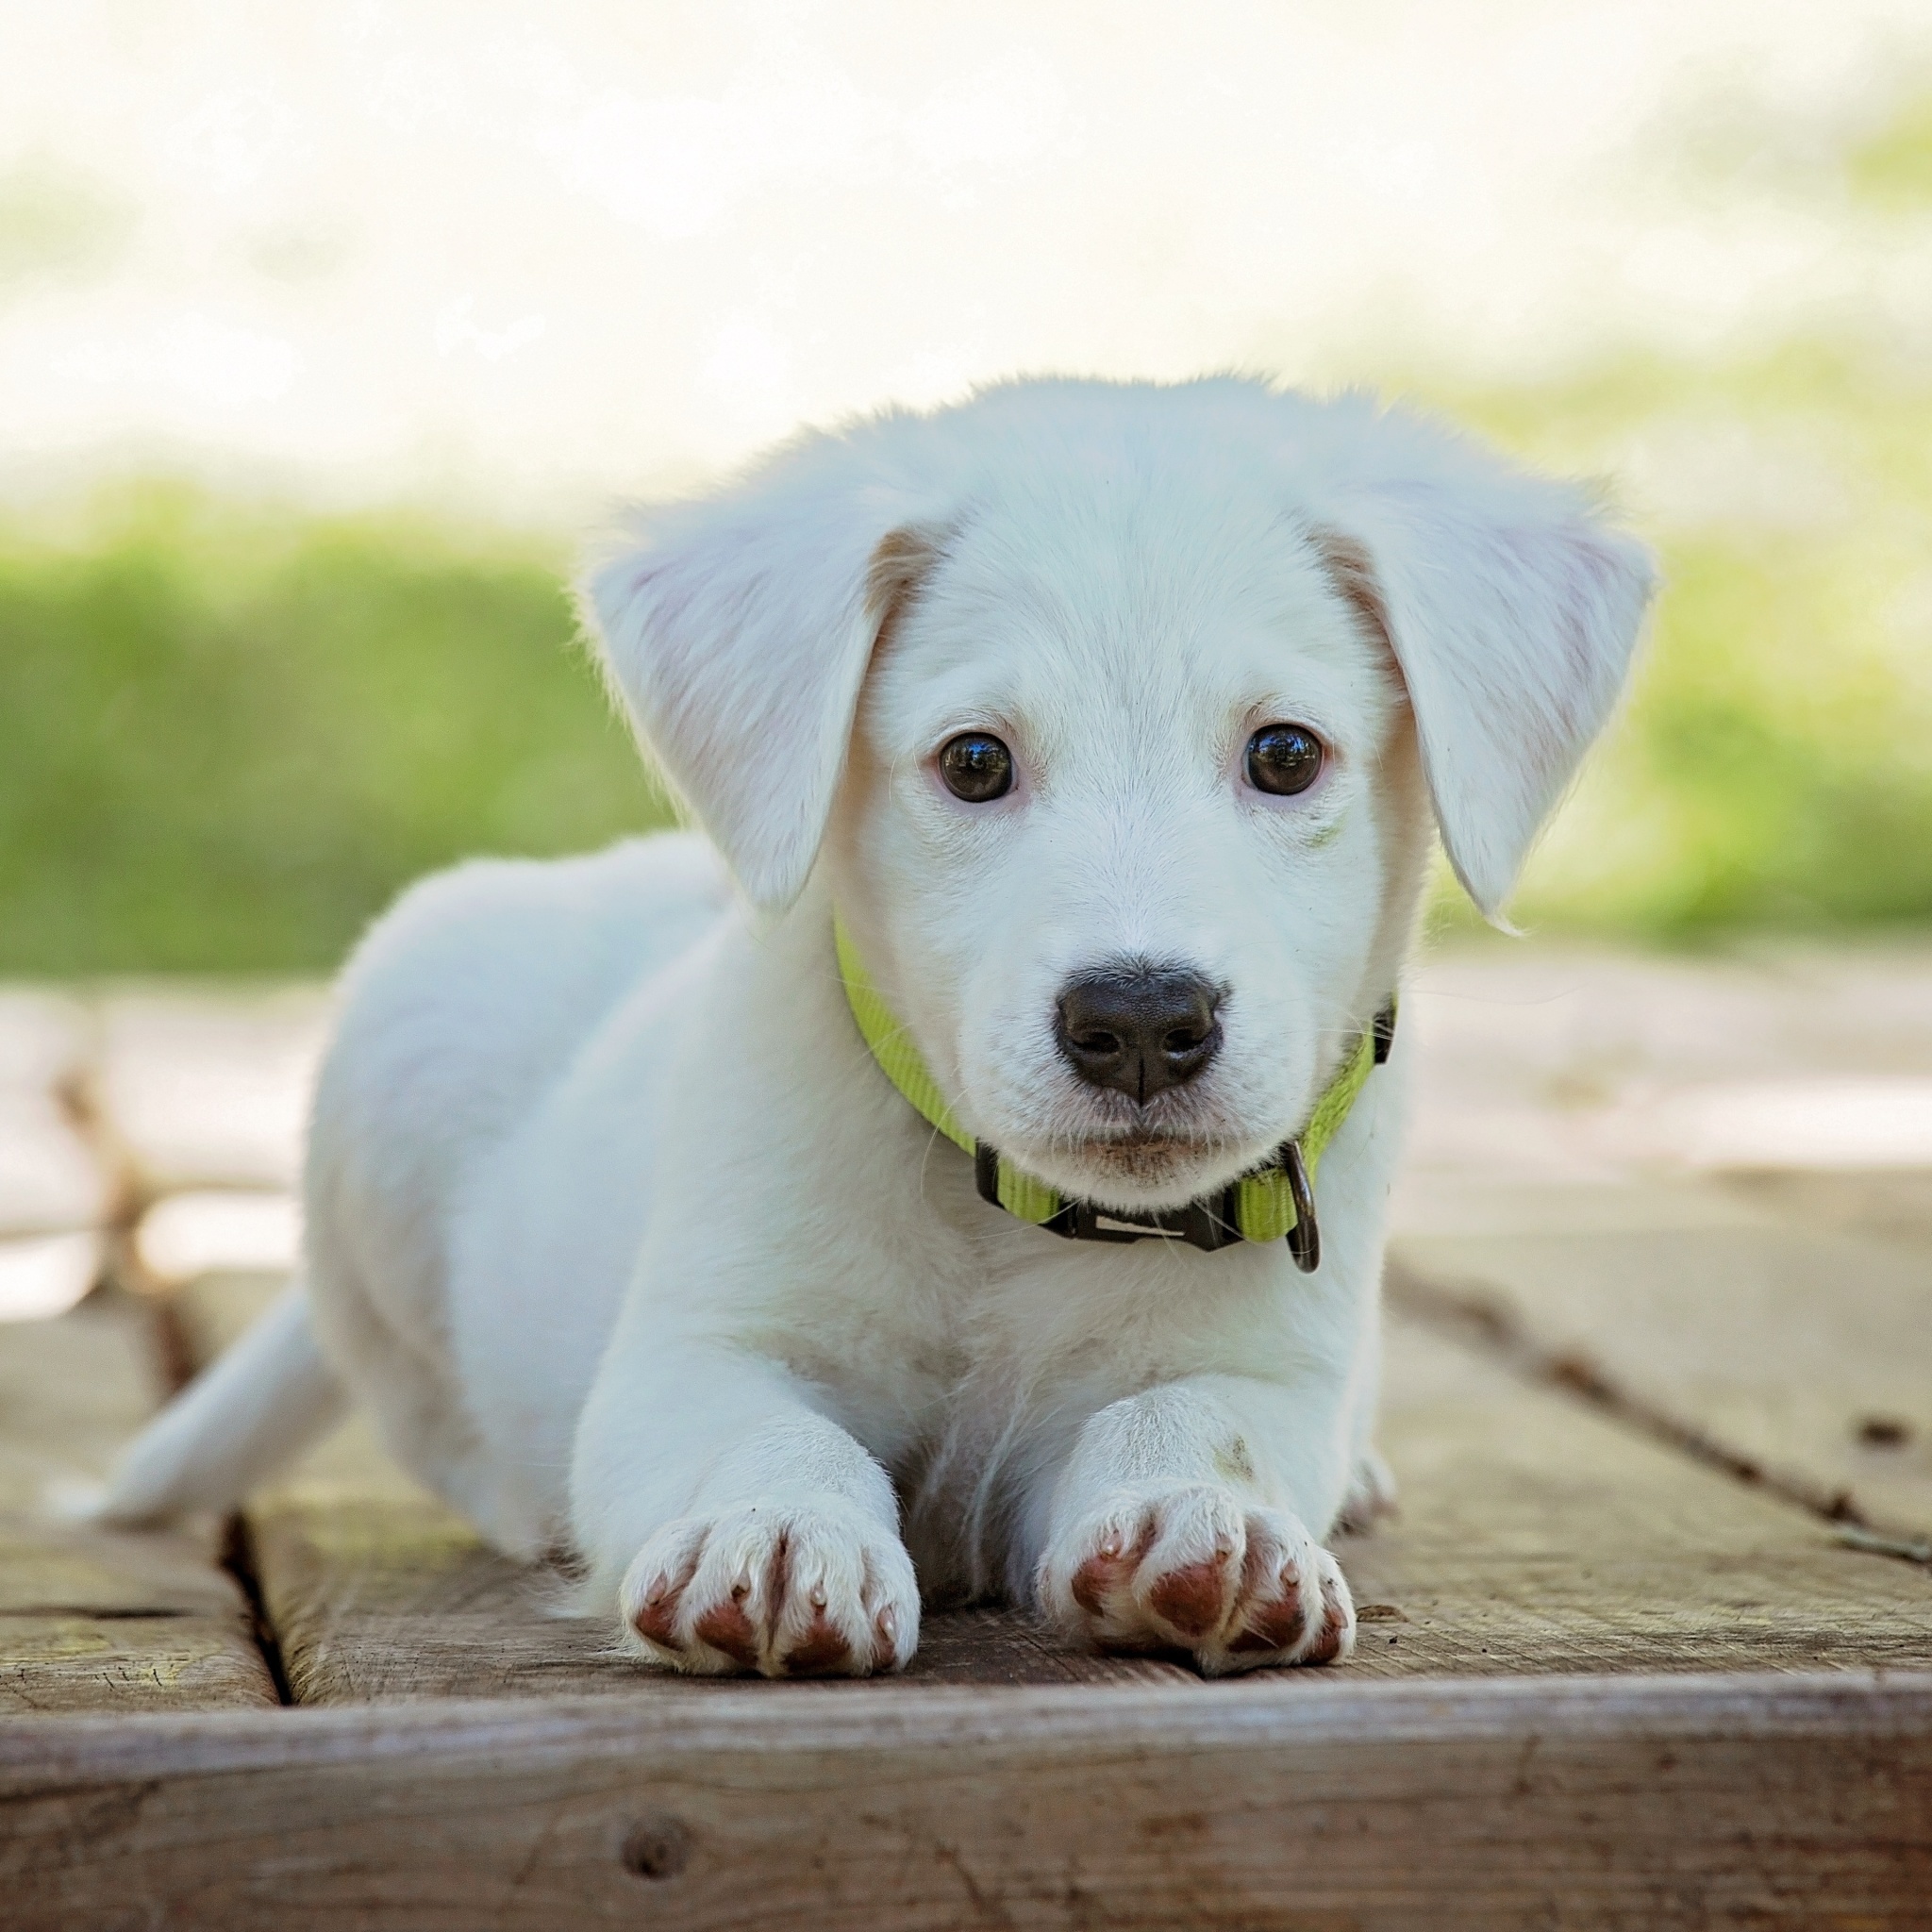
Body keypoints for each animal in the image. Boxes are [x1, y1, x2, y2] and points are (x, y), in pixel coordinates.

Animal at [102, 376, 1645, 1676]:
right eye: (973, 762)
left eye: (1284, 754)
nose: (1141, 1020)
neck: (1007, 1219)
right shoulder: (696, 1350)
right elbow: (768, 1433)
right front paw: (779, 1533)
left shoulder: (1265, 1368)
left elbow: (1191, 1419)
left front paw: (1206, 1522)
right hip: (398, 1048)